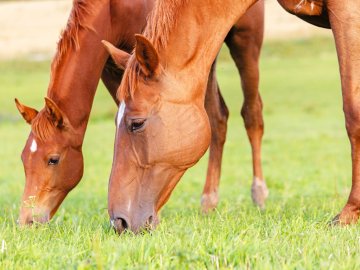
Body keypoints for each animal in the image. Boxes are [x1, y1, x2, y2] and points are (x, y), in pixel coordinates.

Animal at [14, 0, 268, 225]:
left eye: (53, 159)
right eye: (24, 159)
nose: (26, 220)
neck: (113, 9)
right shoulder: (114, 67)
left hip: (245, 40)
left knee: (251, 113)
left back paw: (259, 194)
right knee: (217, 118)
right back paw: (209, 202)